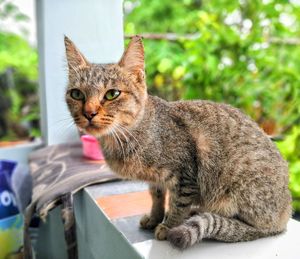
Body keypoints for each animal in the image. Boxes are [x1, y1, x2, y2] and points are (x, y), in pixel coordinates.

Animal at [63, 35, 290, 251]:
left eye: (112, 94)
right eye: (76, 94)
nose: (89, 113)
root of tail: (285, 214)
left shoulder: (185, 175)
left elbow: (178, 203)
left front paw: (168, 225)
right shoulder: (156, 179)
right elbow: (156, 196)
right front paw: (154, 217)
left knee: (253, 229)